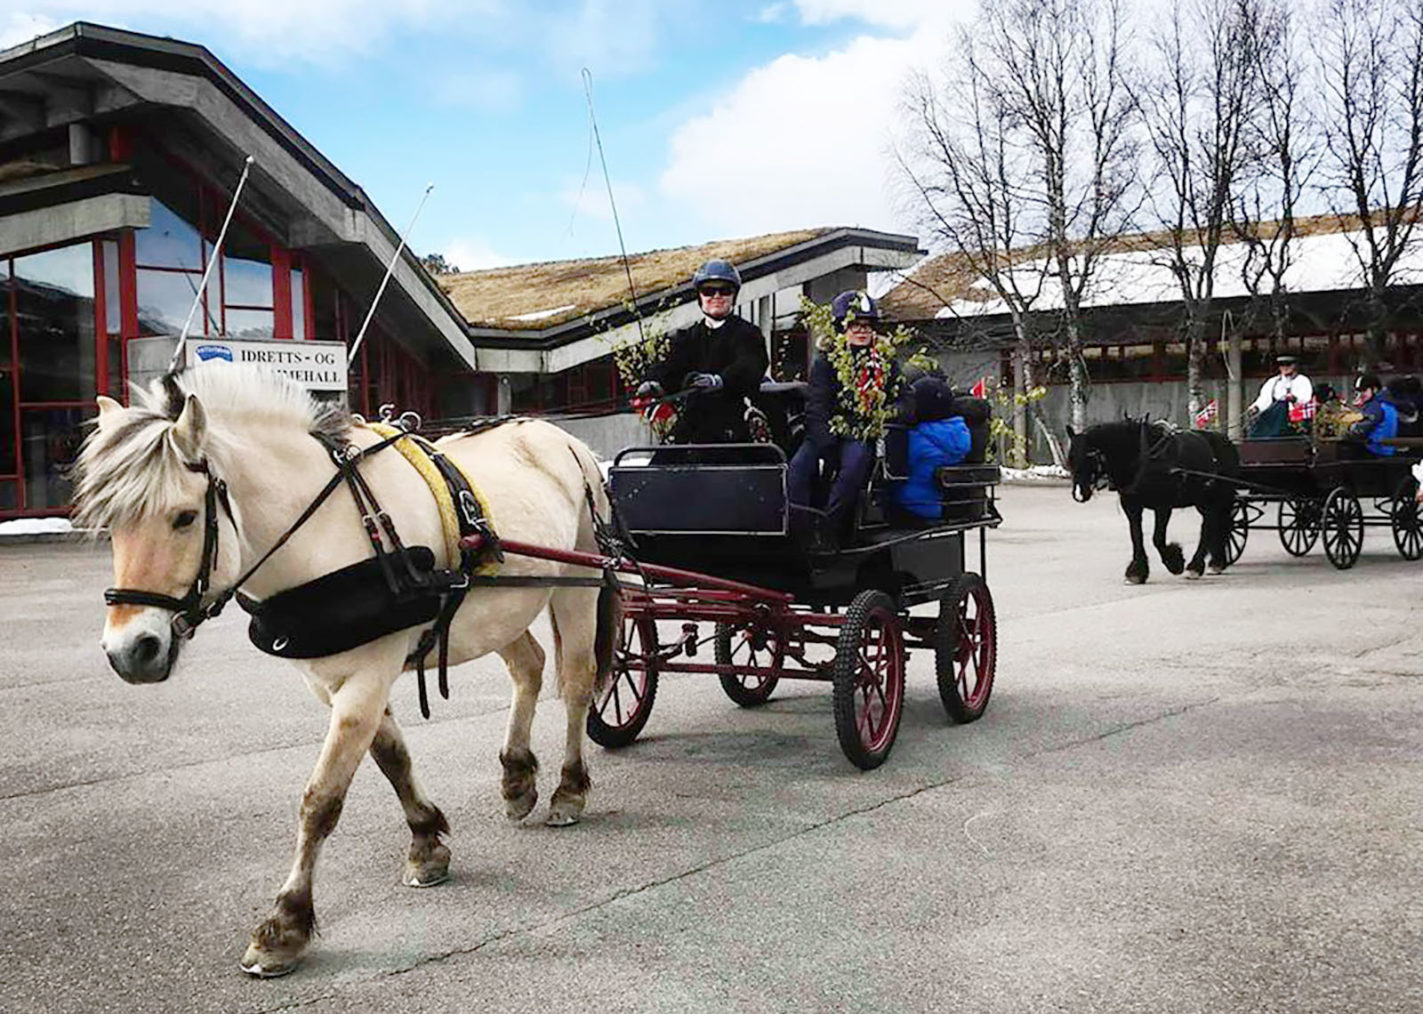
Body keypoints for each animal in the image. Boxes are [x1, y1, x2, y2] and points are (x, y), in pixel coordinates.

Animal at [72, 364, 617, 972]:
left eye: (185, 517)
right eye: (112, 523)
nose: (129, 650)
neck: (328, 530)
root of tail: (562, 438)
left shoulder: (367, 676)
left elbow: (321, 799)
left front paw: (285, 922)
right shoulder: (332, 679)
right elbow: (393, 759)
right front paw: (426, 842)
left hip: (581, 580)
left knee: (576, 681)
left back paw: (569, 789)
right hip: (497, 608)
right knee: (529, 667)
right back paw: (518, 776)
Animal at [1070, 415, 1235, 580]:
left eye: (1088, 458)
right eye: (1070, 460)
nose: (1079, 494)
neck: (1143, 456)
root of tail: (1224, 439)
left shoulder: (1163, 506)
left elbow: (1157, 538)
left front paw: (1174, 563)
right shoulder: (1131, 505)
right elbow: (1136, 535)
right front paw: (1137, 571)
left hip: (1213, 498)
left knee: (1210, 525)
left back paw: (1196, 566)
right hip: (1203, 499)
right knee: (1214, 523)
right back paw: (1215, 562)